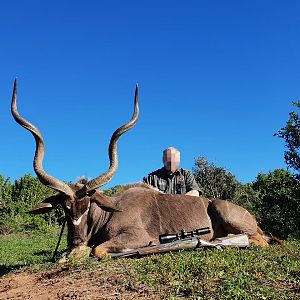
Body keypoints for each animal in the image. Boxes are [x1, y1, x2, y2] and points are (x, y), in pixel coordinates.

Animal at [11, 79, 270, 260]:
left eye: (88, 206)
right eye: (65, 208)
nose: (75, 241)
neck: (110, 211)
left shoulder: (136, 236)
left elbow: (98, 250)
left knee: (260, 239)